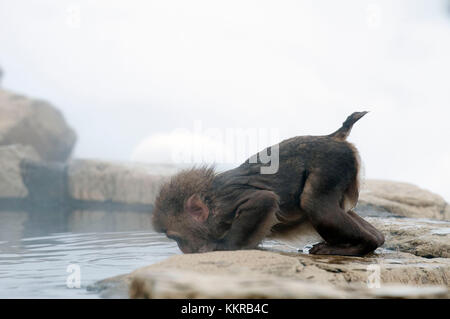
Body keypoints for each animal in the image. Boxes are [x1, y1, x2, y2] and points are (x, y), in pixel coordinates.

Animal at [151, 112, 384, 258]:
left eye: (175, 237)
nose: (183, 249)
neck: (211, 201)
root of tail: (333, 136)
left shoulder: (225, 204)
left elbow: (263, 199)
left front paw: (225, 246)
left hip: (332, 162)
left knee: (315, 205)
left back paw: (361, 245)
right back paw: (376, 240)